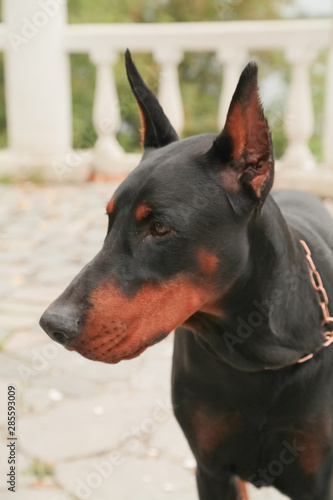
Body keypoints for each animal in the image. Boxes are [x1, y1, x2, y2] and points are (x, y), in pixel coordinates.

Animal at [40, 50, 332, 500]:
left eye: (160, 228)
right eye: (109, 220)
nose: (53, 324)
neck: (257, 354)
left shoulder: (317, 482)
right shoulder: (211, 469)